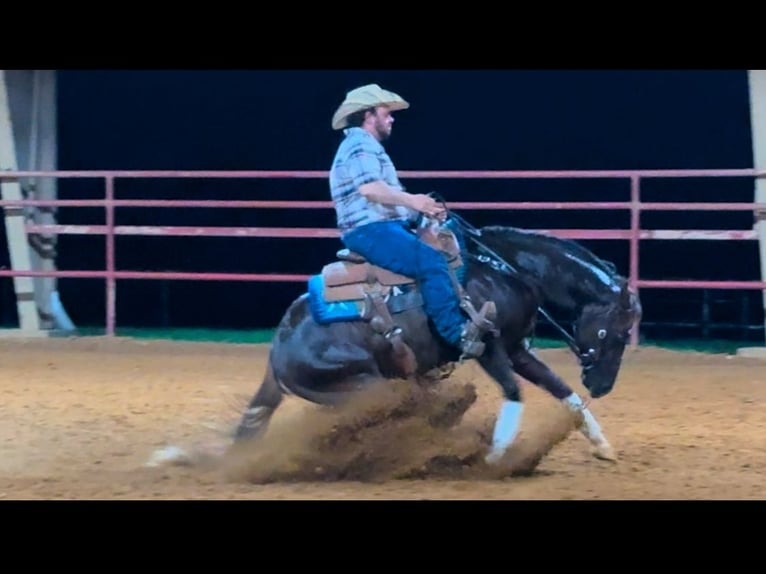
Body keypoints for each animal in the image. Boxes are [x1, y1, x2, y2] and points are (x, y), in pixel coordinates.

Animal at [232, 214, 642, 464]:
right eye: (615, 332)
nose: (603, 386)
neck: (505, 272)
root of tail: (279, 350)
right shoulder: (487, 347)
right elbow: (514, 392)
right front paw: (493, 457)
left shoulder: (516, 348)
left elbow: (562, 389)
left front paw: (602, 444)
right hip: (364, 386)